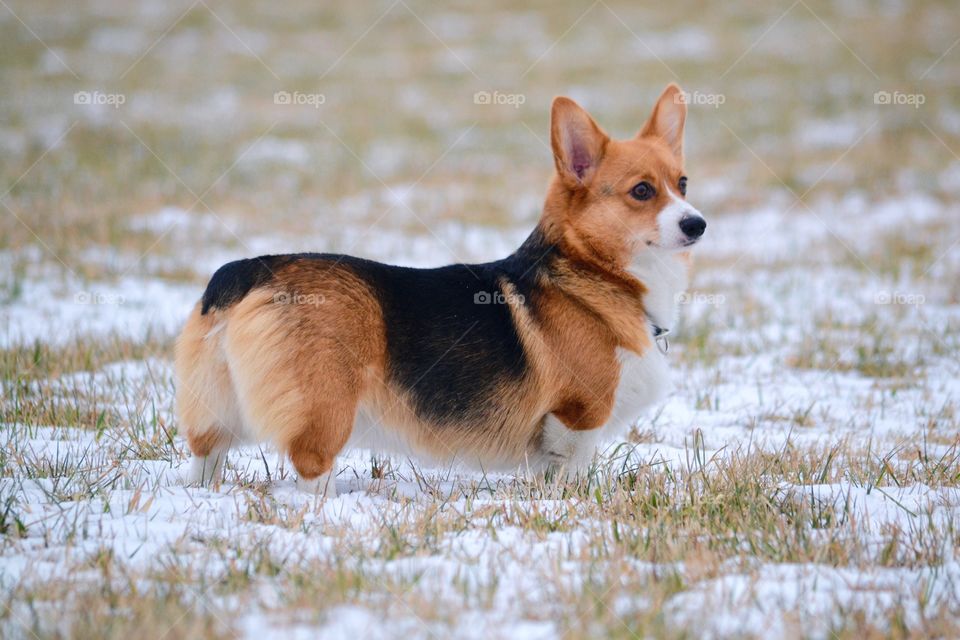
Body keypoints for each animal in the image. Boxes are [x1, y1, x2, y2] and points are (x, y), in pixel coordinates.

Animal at [174, 84, 704, 496]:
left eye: (682, 183)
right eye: (641, 191)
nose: (697, 224)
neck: (595, 274)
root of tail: (248, 271)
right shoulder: (577, 418)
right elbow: (571, 472)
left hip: (216, 409)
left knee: (205, 453)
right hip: (324, 408)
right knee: (309, 465)